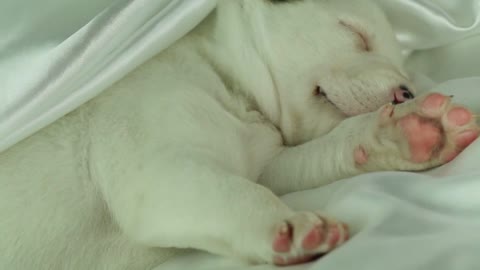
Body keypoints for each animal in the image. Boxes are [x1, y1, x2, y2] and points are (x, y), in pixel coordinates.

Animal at [0, 0, 480, 268]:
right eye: (356, 34)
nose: (406, 92)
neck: (235, 90)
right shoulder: (159, 173)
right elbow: (237, 192)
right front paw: (285, 224)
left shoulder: (268, 163)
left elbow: (322, 150)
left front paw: (406, 132)